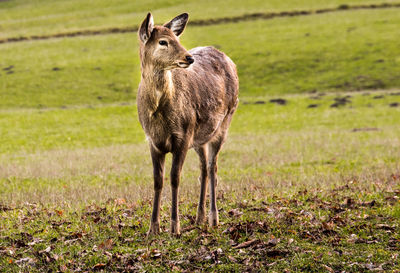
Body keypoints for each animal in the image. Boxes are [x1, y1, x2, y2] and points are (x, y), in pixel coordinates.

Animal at [138, 11, 238, 235]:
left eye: (178, 39)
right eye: (163, 41)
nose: (189, 57)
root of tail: (228, 59)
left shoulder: (182, 137)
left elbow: (175, 178)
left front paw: (174, 227)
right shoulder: (152, 141)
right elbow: (157, 180)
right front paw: (153, 228)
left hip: (224, 123)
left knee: (213, 167)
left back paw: (213, 218)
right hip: (200, 135)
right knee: (203, 169)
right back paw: (199, 218)